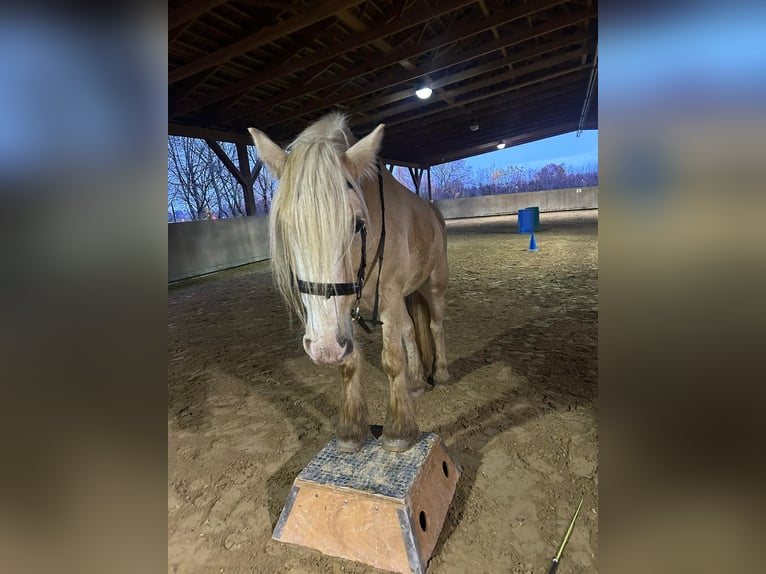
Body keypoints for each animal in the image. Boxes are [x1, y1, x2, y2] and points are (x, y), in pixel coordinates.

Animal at [249, 112, 450, 454]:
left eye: (357, 224)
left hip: (434, 284)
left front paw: (399, 430)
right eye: (286, 230)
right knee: (411, 330)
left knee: (436, 326)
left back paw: (441, 373)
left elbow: (391, 360)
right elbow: (350, 364)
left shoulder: (387, 298)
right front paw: (352, 430)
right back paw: (415, 381)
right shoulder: (347, 314)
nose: (324, 348)